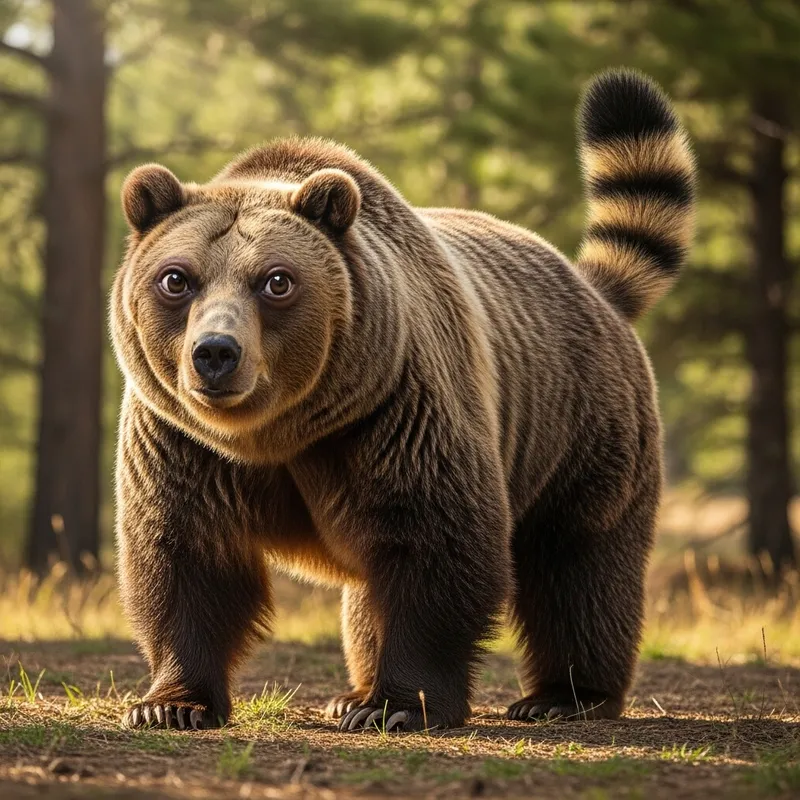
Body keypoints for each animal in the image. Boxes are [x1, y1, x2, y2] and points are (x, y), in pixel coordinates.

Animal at [110, 69, 695, 732]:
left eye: (277, 280)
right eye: (176, 278)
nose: (215, 353)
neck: (279, 433)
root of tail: (596, 290)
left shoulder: (393, 412)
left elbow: (435, 546)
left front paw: (396, 706)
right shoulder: (180, 441)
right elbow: (185, 556)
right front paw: (171, 703)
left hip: (581, 429)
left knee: (577, 564)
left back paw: (563, 695)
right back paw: (353, 690)